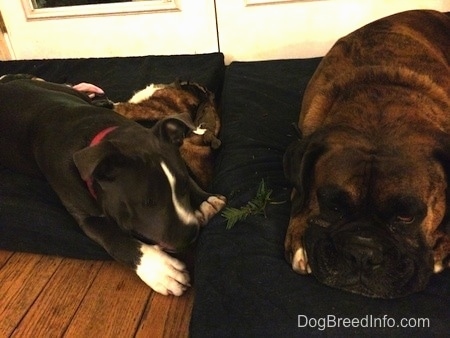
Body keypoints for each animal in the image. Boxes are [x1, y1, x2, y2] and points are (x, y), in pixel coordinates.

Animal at [0, 75, 225, 294]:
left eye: (184, 185)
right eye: (147, 203)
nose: (191, 233)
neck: (100, 135)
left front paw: (205, 200)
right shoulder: (86, 217)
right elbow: (114, 238)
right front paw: (159, 269)